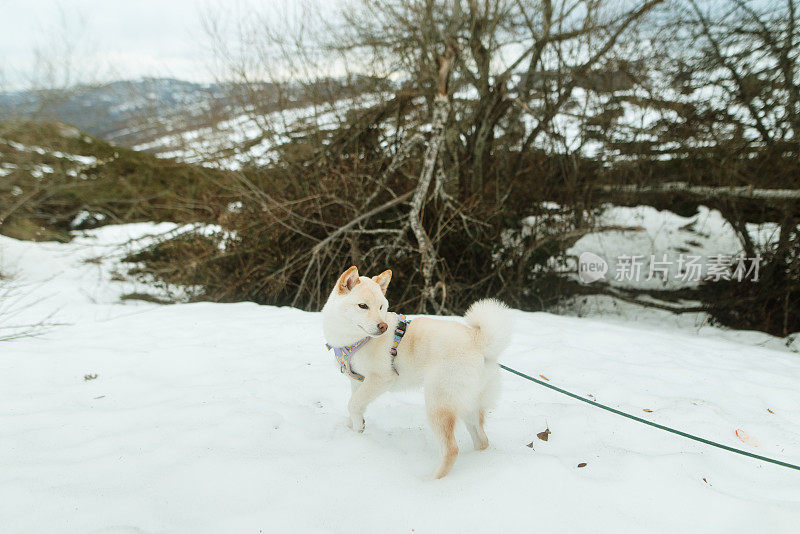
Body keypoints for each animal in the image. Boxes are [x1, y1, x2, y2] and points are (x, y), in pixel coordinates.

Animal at [320, 266, 512, 480]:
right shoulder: (358, 381)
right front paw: (354, 425)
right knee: (482, 440)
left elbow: (352, 403)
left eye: (381, 307)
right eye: (363, 306)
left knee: (451, 449)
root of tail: (478, 342)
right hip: (468, 404)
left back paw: (431, 479)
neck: (354, 340)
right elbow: (355, 404)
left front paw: (358, 425)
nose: (383, 326)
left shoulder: (380, 379)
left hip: (438, 403)